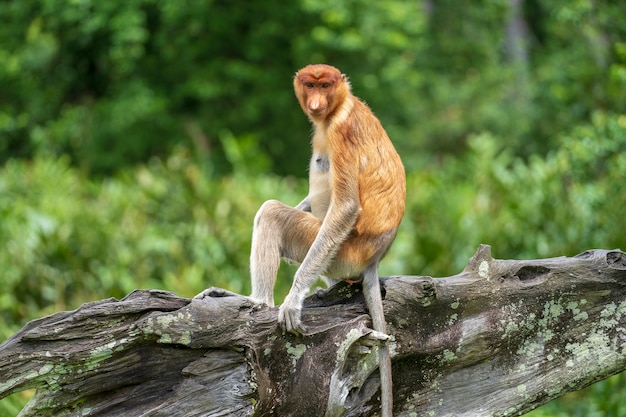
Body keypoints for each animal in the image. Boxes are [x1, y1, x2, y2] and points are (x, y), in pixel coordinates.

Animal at [249, 63, 404, 414]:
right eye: (310, 85)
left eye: (325, 86)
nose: (316, 103)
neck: (338, 107)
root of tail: (374, 258)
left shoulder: (341, 131)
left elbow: (345, 206)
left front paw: (293, 300)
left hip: (340, 251)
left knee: (271, 213)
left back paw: (259, 303)